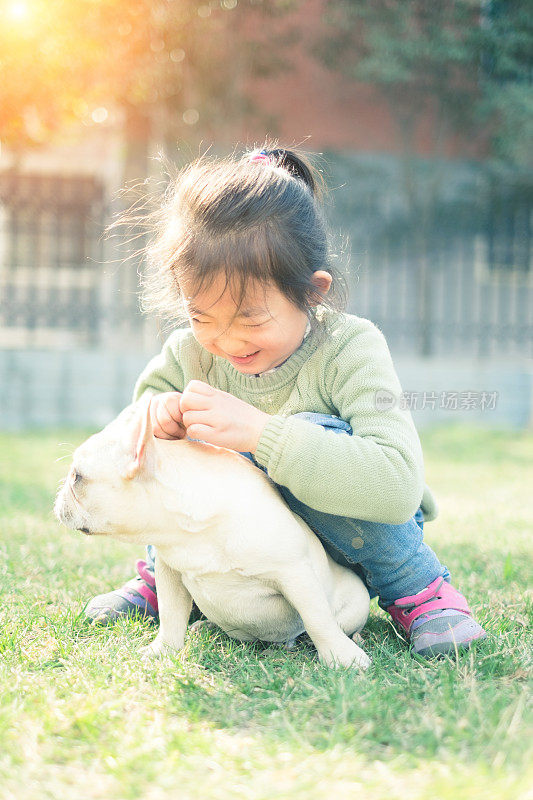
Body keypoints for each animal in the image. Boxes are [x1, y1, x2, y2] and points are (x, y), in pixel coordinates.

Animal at [55, 398, 370, 668]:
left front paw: (343, 658)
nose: (58, 498)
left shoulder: (295, 573)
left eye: (77, 478)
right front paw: (162, 650)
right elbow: (171, 615)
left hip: (356, 602)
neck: (190, 533)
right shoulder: (171, 574)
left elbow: (317, 617)